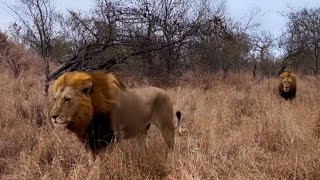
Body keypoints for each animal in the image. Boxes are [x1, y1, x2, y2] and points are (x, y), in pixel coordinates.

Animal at [48, 70, 181, 165]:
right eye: (54, 99)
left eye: (67, 99)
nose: (53, 116)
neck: (88, 118)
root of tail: (164, 91)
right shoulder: (90, 141)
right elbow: (91, 162)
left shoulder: (109, 139)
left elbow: (98, 163)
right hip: (142, 131)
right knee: (143, 148)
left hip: (166, 127)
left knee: (172, 148)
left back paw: (170, 163)